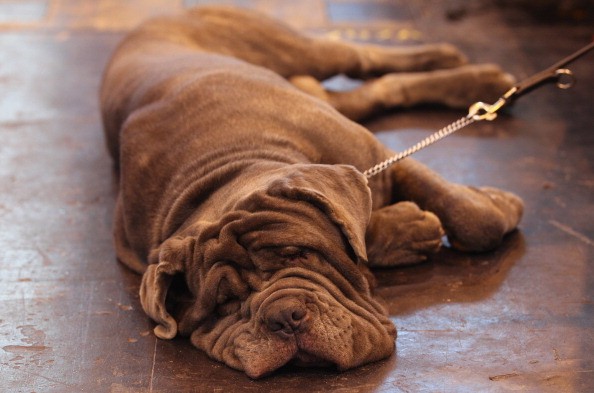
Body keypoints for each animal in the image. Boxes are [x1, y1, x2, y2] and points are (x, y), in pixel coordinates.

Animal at [99, 6, 520, 378]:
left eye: (299, 253)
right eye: (224, 302)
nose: (283, 317)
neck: (224, 169)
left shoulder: (378, 156)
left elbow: (473, 218)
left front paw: (499, 206)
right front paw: (408, 229)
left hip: (291, 47)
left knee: (360, 57)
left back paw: (470, 72)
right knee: (375, 90)